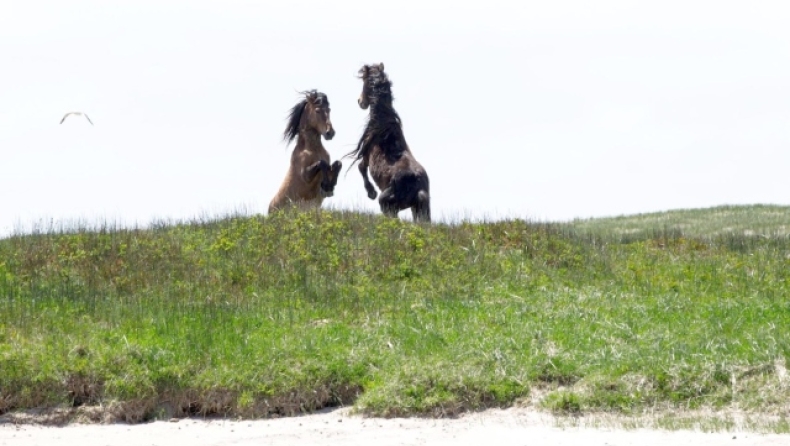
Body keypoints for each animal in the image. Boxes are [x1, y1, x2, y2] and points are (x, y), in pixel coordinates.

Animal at [346, 62, 434, 223]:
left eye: (365, 82)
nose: (360, 102)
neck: (383, 123)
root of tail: (418, 189)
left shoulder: (366, 155)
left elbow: (360, 167)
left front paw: (371, 192)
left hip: (388, 205)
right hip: (419, 210)